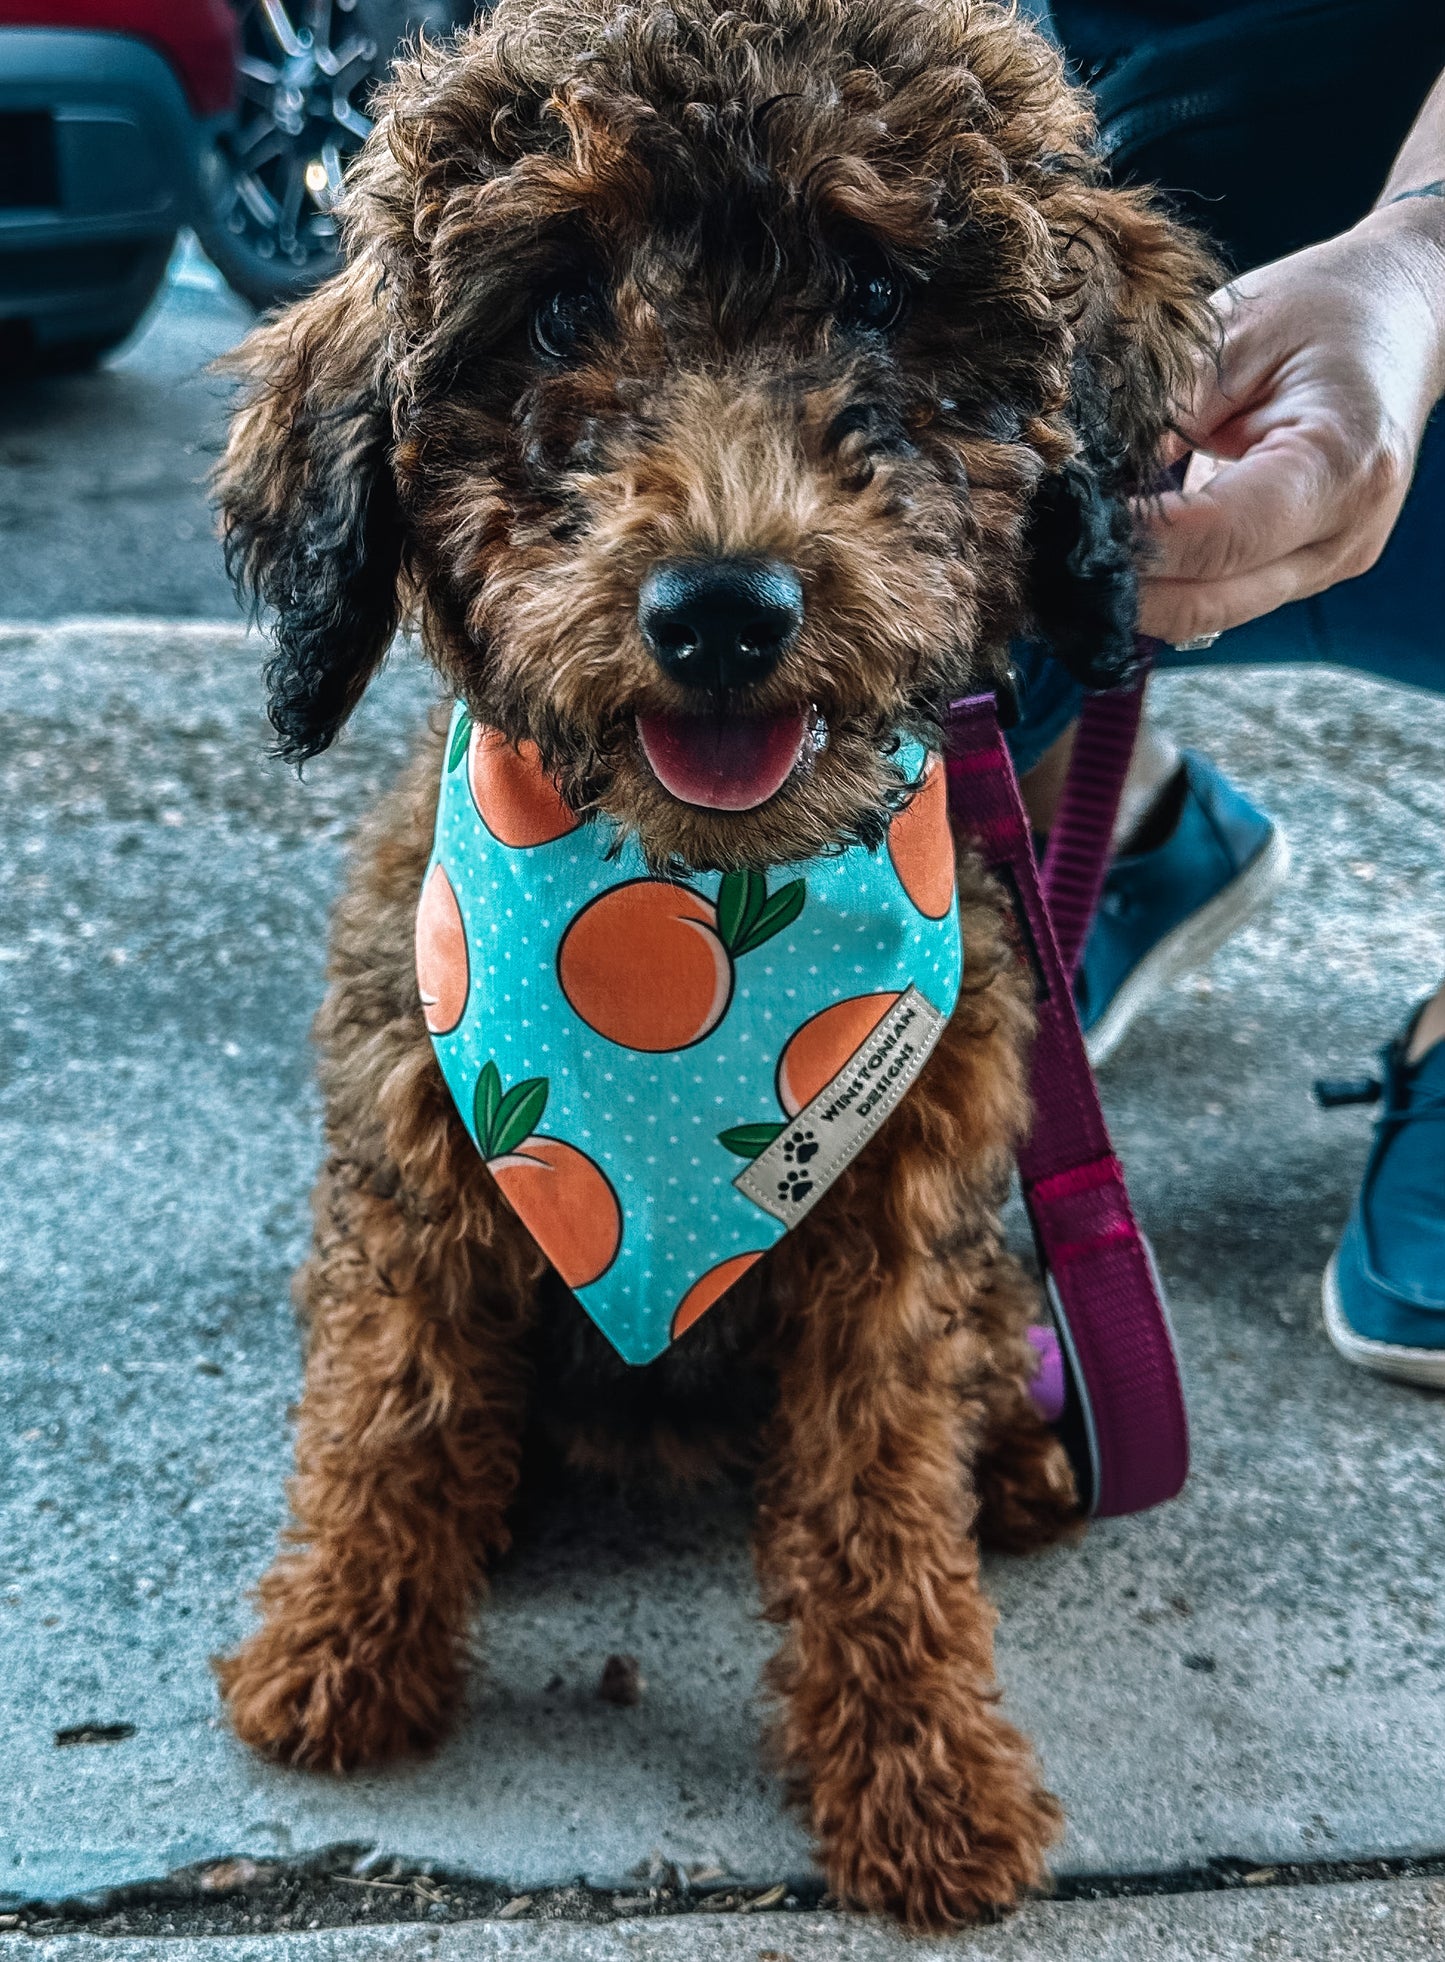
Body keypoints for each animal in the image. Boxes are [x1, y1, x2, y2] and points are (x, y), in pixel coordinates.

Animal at [209, 0, 1217, 1930]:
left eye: (881, 294)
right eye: (553, 311)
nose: (725, 607)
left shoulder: (897, 1227)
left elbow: (879, 1503)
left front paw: (922, 1778)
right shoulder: (419, 1151)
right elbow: (391, 1403)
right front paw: (340, 1656)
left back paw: (1026, 1447)